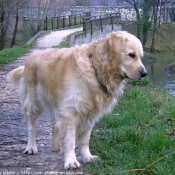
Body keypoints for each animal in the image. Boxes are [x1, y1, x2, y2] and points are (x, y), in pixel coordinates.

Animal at [7, 30, 146, 169]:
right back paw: (31, 147)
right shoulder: (70, 112)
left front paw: (87, 156)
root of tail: (32, 55)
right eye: (131, 55)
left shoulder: (90, 113)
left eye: (140, 56)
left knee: (54, 125)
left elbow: (84, 139)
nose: (145, 73)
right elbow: (70, 140)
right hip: (32, 102)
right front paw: (70, 161)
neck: (94, 68)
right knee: (32, 126)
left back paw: (56, 146)